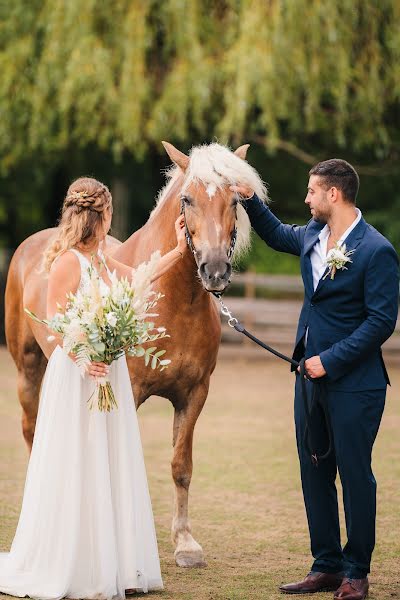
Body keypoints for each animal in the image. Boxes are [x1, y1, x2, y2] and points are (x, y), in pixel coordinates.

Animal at [3, 141, 268, 568]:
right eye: (187, 199)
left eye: (235, 201)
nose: (214, 270)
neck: (174, 298)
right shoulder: (133, 390)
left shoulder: (194, 395)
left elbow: (180, 465)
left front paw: (185, 543)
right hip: (27, 369)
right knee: (31, 429)